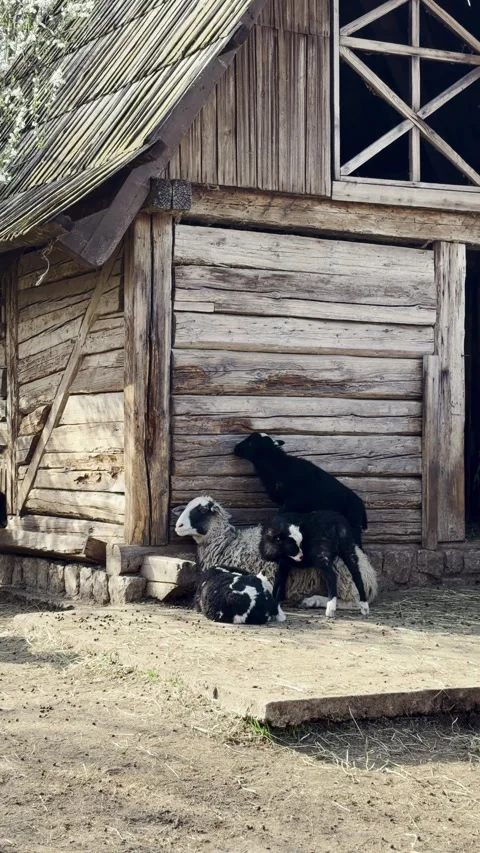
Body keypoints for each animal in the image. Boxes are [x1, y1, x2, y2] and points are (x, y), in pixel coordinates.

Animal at [234, 433, 368, 547]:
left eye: (250, 442)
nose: (235, 448)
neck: (278, 466)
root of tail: (361, 506)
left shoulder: (291, 502)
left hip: (353, 526)